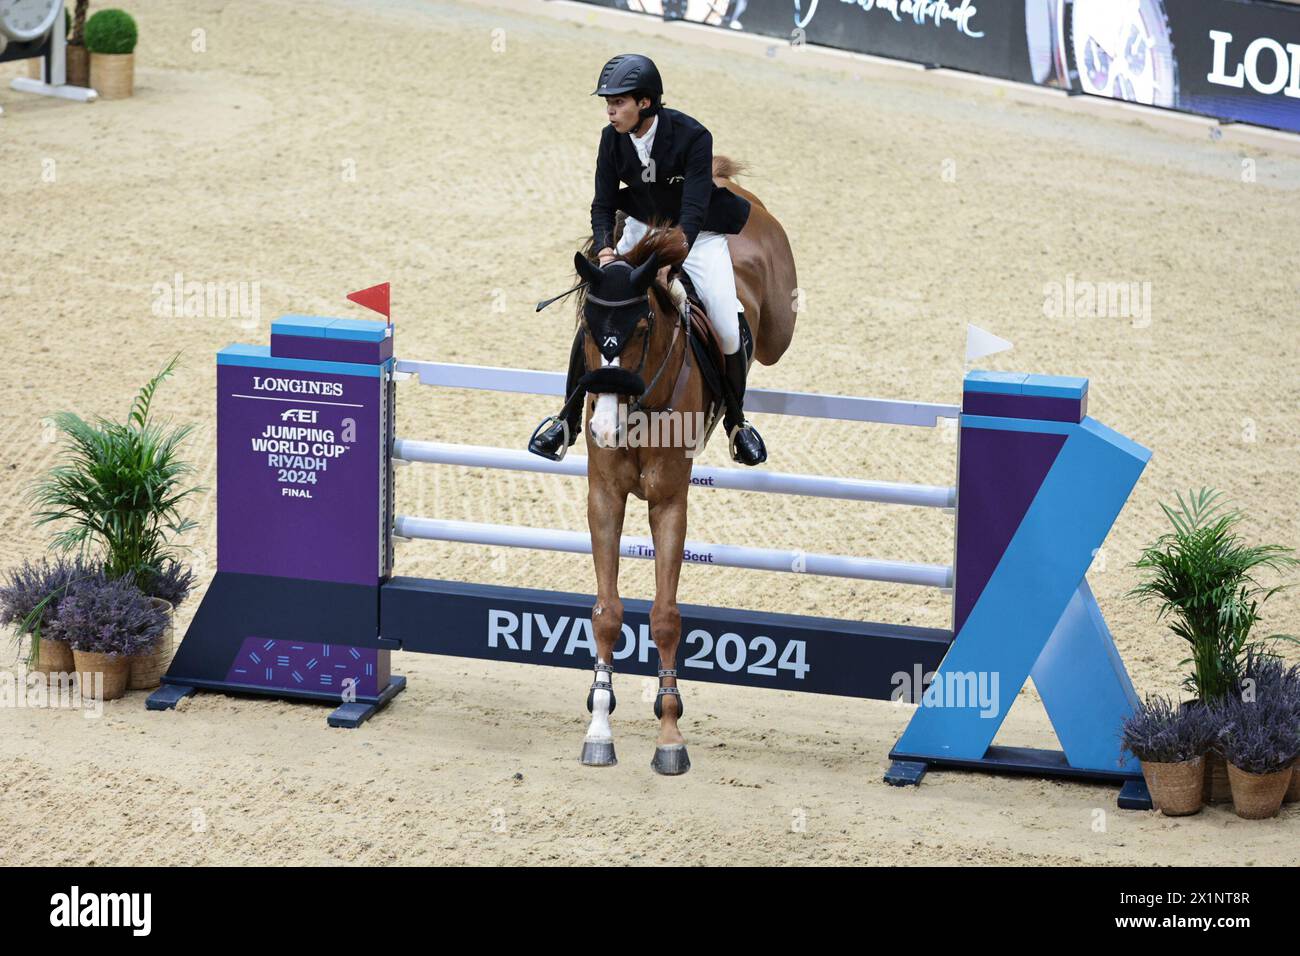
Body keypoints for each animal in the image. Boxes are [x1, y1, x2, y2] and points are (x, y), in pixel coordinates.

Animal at [572, 155, 795, 770]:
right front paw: (600, 726)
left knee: (771, 337)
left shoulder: (669, 501)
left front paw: (670, 734)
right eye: (589, 331)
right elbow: (608, 612)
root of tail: (727, 184)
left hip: (776, 326)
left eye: (641, 328)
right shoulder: (605, 497)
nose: (603, 426)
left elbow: (666, 617)